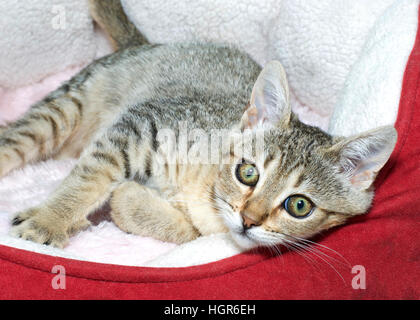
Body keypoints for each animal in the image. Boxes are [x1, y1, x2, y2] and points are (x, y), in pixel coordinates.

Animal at [0, 0, 396, 250]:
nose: (249, 220)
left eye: (299, 206)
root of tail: (150, 44)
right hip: (65, 108)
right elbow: (88, 179)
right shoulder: (138, 126)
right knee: (13, 139)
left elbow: (178, 229)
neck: (206, 186)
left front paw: (125, 199)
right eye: (248, 173)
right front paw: (51, 220)